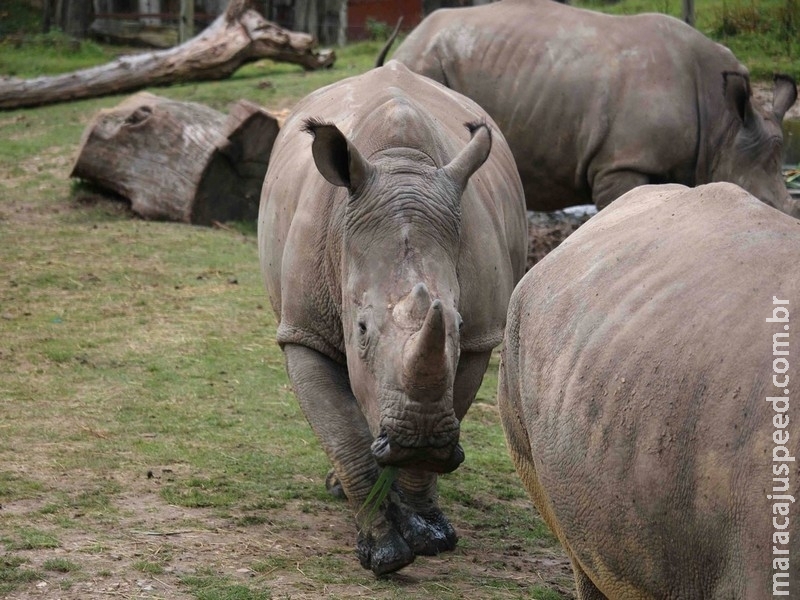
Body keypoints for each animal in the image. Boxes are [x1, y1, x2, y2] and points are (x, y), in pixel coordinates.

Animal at [260, 61, 528, 576]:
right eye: (361, 329)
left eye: (458, 325)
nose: (416, 438)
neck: (401, 164)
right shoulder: (303, 330)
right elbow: (343, 435)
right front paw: (383, 553)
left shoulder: (480, 338)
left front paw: (430, 535)